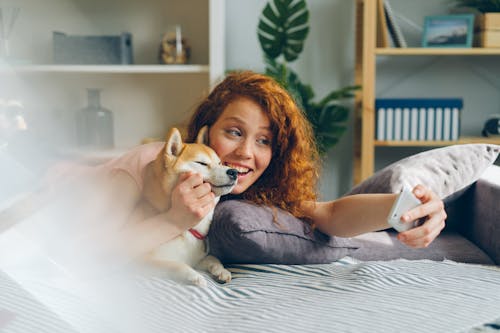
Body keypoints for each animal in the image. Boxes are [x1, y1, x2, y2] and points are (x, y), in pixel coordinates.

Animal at [142, 126, 239, 286]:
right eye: (202, 163)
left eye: (219, 163)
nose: (234, 171)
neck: (188, 228)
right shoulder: (140, 260)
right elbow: (174, 264)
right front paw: (193, 275)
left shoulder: (196, 259)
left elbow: (212, 258)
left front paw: (221, 270)